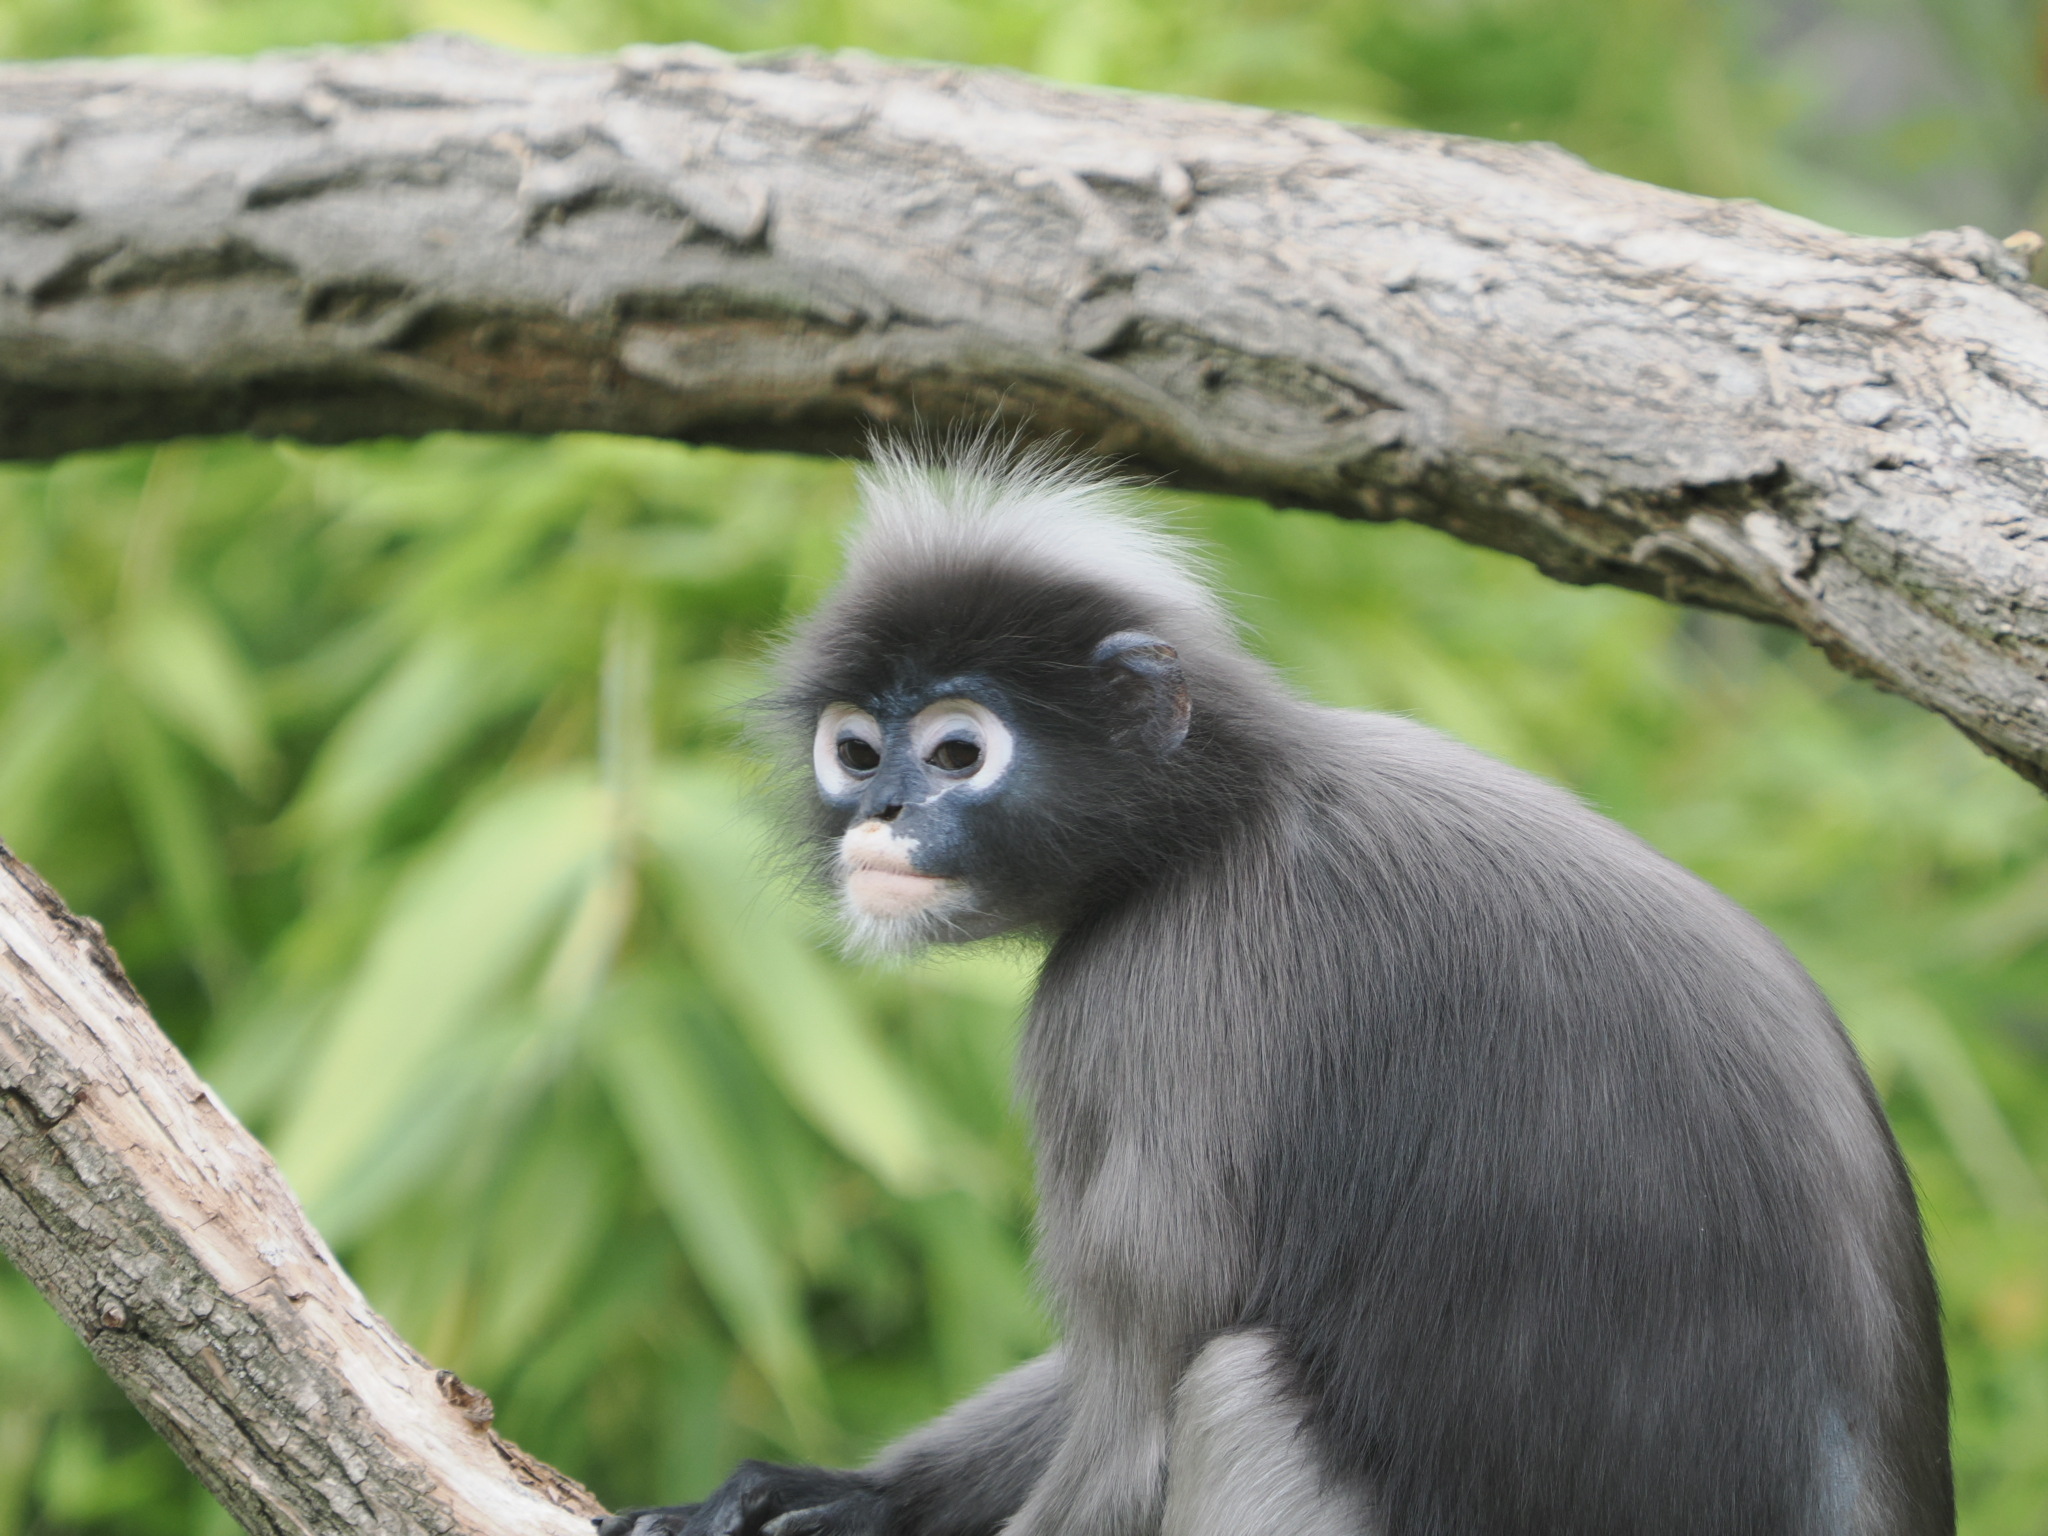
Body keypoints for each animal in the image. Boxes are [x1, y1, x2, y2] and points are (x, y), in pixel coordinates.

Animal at [598, 440, 1952, 1536]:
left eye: (956, 753)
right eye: (855, 749)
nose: (878, 816)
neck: (1222, 816)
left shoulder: (1161, 1001)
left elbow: (1131, 1421)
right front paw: (840, 1496)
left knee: (1233, 1390)